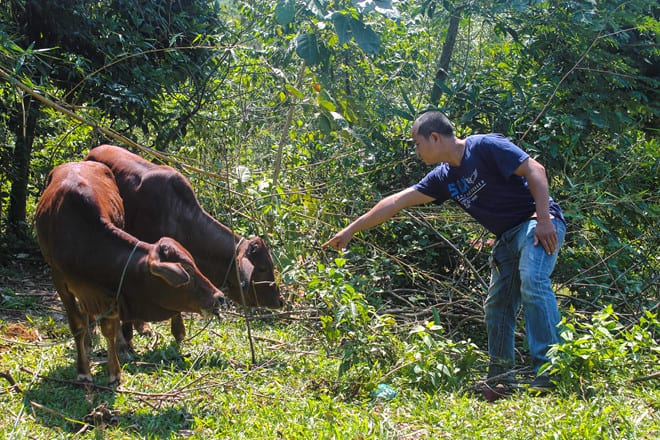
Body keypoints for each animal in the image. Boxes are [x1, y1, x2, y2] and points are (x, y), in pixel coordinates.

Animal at [34, 162, 226, 384]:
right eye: (187, 270)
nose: (219, 297)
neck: (82, 240)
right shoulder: (60, 282)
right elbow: (77, 325)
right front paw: (83, 371)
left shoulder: (109, 288)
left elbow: (109, 328)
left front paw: (115, 370)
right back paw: (91, 342)